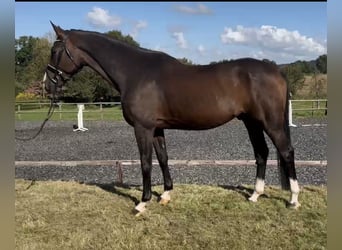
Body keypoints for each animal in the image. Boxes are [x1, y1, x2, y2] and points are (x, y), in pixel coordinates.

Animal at [44, 22, 300, 213]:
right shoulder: (157, 129)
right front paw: (166, 194)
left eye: (54, 52)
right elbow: (163, 158)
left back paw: (294, 199)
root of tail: (276, 69)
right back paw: (255, 195)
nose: (47, 86)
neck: (134, 72)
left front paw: (142, 202)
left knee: (286, 151)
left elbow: (146, 162)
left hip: (271, 123)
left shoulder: (143, 128)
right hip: (251, 122)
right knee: (261, 153)